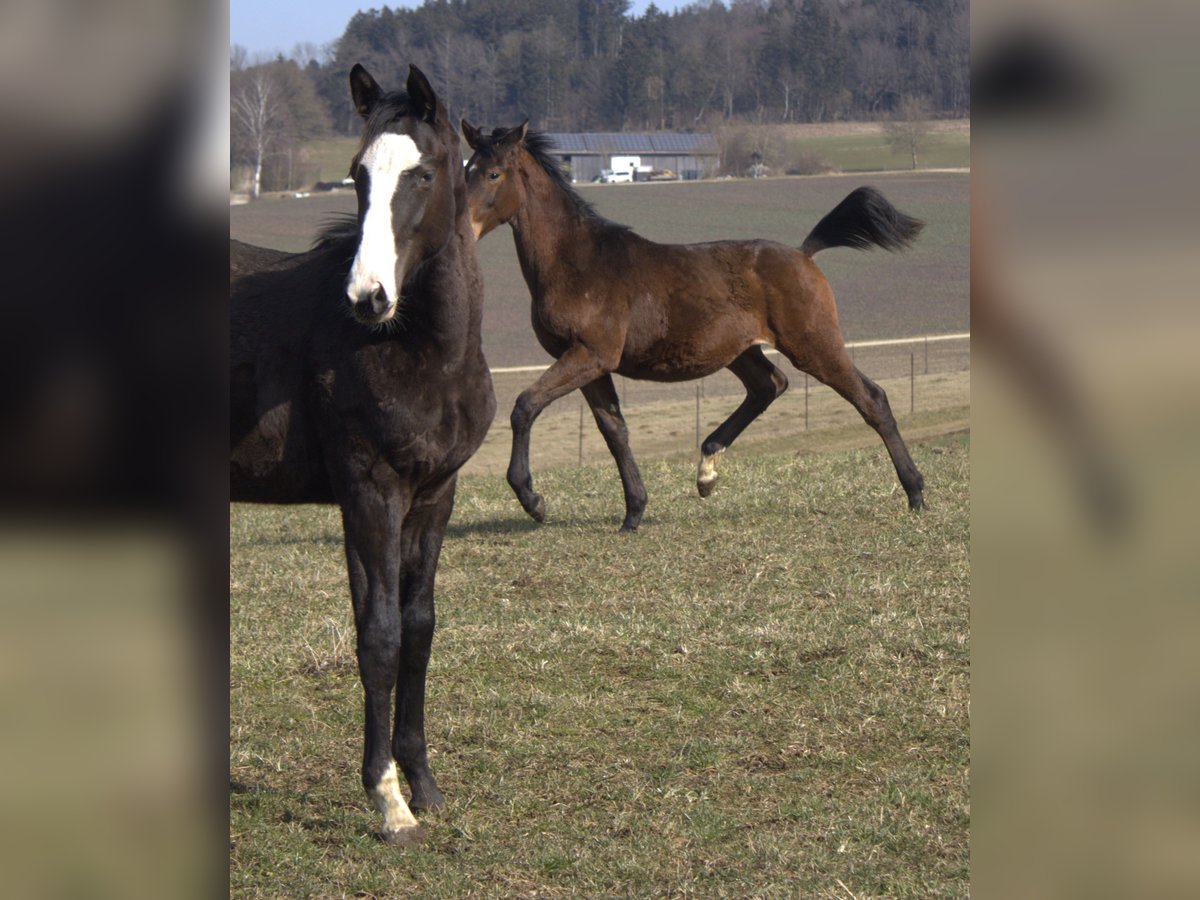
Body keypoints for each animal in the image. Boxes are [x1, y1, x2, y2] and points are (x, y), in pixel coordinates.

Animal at [229, 66, 492, 849]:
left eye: (423, 173)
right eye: (356, 175)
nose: (367, 296)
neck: (416, 349)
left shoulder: (432, 495)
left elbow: (417, 628)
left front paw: (425, 785)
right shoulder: (371, 491)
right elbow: (377, 634)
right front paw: (389, 801)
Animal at [463, 118, 921, 528]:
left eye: (493, 173)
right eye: (466, 169)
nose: (463, 230)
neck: (578, 262)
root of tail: (803, 253)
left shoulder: (590, 355)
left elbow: (525, 406)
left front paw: (532, 499)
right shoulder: (590, 362)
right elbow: (614, 431)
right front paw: (634, 512)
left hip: (813, 344)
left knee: (871, 399)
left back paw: (916, 492)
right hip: (741, 351)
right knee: (769, 385)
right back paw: (707, 471)